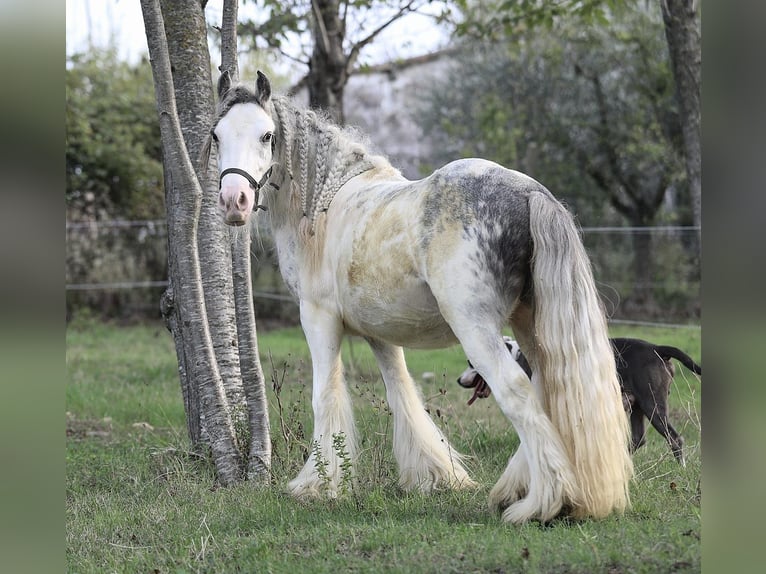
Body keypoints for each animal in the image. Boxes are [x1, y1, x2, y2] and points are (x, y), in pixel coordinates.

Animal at [201, 72, 632, 528]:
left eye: (267, 135)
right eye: (216, 135)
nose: (234, 201)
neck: (325, 205)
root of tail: (529, 192)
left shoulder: (318, 319)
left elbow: (325, 395)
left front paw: (319, 485)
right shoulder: (379, 332)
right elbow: (402, 393)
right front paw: (434, 475)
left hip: (476, 328)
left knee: (517, 391)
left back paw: (541, 503)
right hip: (530, 324)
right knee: (547, 389)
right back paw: (526, 489)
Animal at [460, 338, 704, 468]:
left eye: (472, 363)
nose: (458, 380)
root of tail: (657, 348)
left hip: (652, 404)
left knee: (674, 438)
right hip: (639, 407)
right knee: (638, 439)